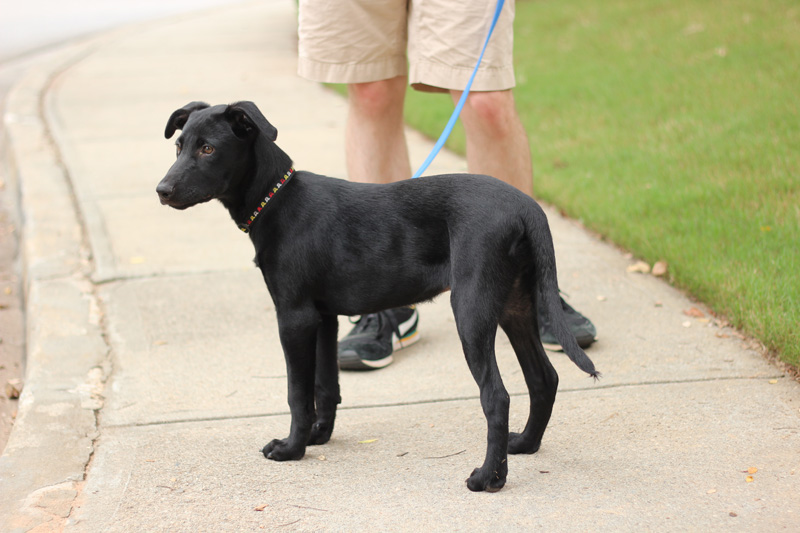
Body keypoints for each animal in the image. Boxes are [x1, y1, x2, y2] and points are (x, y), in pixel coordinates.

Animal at [156, 102, 596, 492]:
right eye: (178, 146)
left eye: (208, 149)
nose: (162, 190)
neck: (277, 199)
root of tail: (527, 207)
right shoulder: (323, 318)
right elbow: (325, 386)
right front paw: (318, 436)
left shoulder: (294, 316)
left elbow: (297, 392)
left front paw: (292, 448)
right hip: (514, 305)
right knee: (544, 378)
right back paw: (524, 444)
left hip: (472, 308)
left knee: (497, 397)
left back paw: (489, 478)